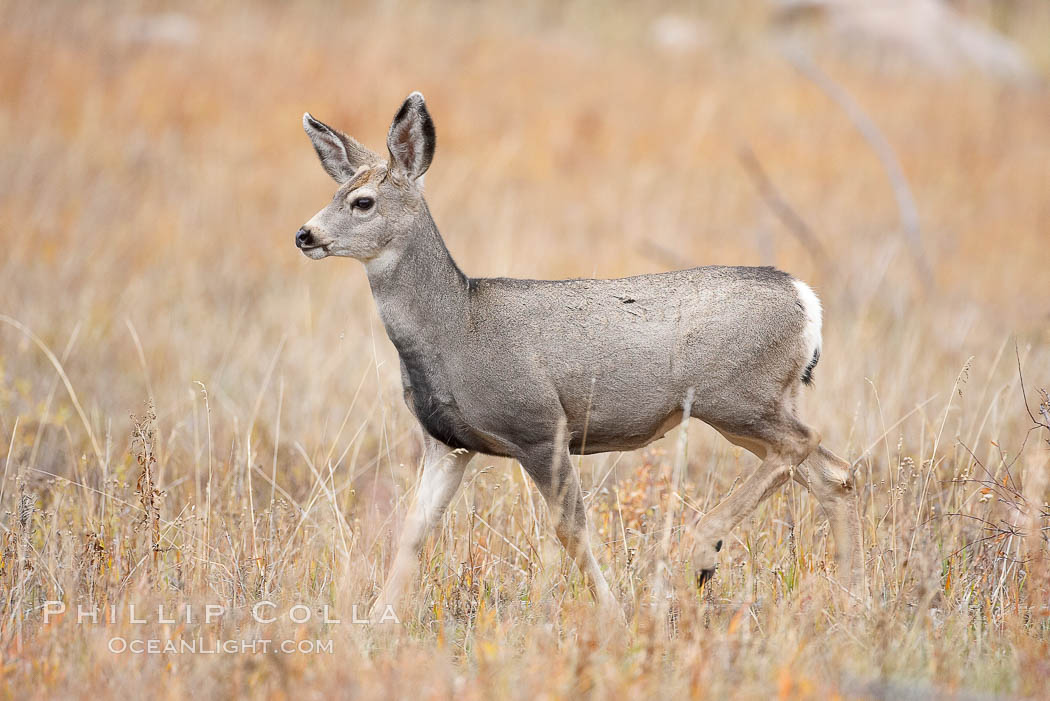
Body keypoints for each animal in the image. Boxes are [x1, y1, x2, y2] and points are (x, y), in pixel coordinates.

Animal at [294, 91, 860, 612]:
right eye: (336, 191)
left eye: (363, 202)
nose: (304, 234)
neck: (456, 328)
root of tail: (805, 301)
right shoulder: (447, 443)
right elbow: (414, 531)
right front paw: (378, 620)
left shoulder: (540, 427)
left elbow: (571, 530)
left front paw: (612, 615)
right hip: (760, 405)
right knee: (831, 472)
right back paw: (850, 596)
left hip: (735, 396)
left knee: (805, 445)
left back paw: (700, 555)